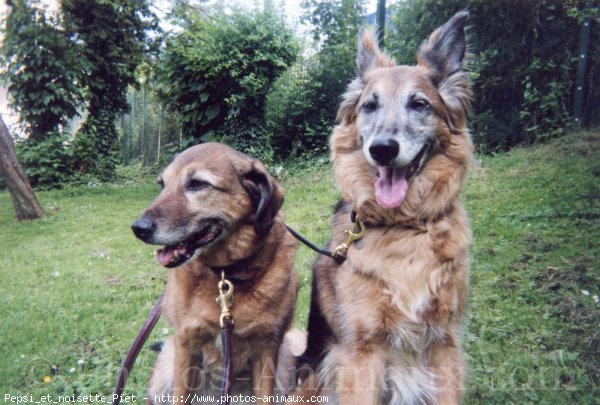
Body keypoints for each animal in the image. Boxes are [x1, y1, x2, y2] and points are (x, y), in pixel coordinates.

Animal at [132, 141, 298, 400]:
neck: (225, 275)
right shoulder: (186, 344)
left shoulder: (267, 348)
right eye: (162, 185)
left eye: (197, 184)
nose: (138, 228)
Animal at [296, 12, 474, 404]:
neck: (404, 228)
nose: (382, 149)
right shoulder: (361, 355)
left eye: (419, 104)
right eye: (369, 106)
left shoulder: (445, 345)